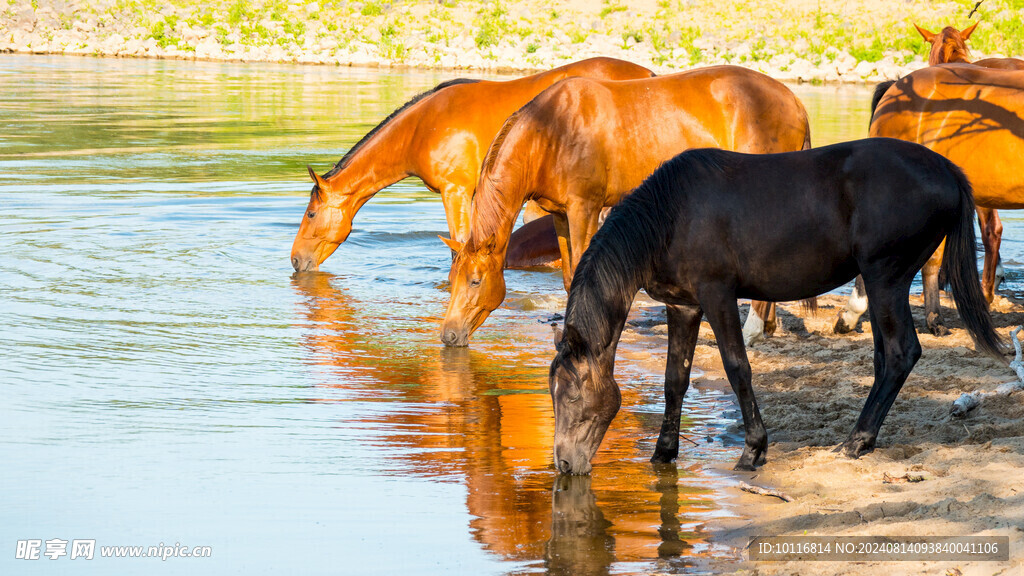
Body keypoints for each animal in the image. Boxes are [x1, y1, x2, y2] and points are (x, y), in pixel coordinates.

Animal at [292, 57, 651, 272]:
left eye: (311, 214)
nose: (296, 261)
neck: (422, 126)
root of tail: (647, 75)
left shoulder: (455, 192)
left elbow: (458, 248)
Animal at [436, 66, 811, 344]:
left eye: (475, 281)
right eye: (451, 280)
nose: (448, 336)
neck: (551, 131)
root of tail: (792, 100)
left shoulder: (584, 209)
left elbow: (582, 272)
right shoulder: (559, 214)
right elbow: (569, 277)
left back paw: (752, 331)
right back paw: (766, 329)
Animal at [548, 138, 1003, 471]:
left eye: (570, 395)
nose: (565, 465)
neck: (670, 215)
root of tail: (946, 169)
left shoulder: (717, 295)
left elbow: (737, 368)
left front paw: (753, 449)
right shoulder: (684, 307)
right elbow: (675, 379)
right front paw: (664, 453)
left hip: (885, 278)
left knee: (899, 353)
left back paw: (856, 440)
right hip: (882, 285)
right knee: (884, 358)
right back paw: (864, 437)